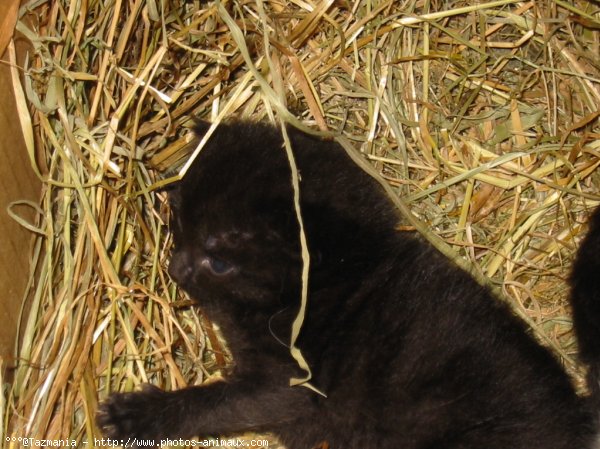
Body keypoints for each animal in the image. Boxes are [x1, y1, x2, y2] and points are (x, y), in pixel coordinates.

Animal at [98, 121, 600, 446]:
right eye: (177, 219)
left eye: (218, 261)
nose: (174, 268)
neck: (335, 276)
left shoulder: (292, 383)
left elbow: (218, 402)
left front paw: (137, 415)